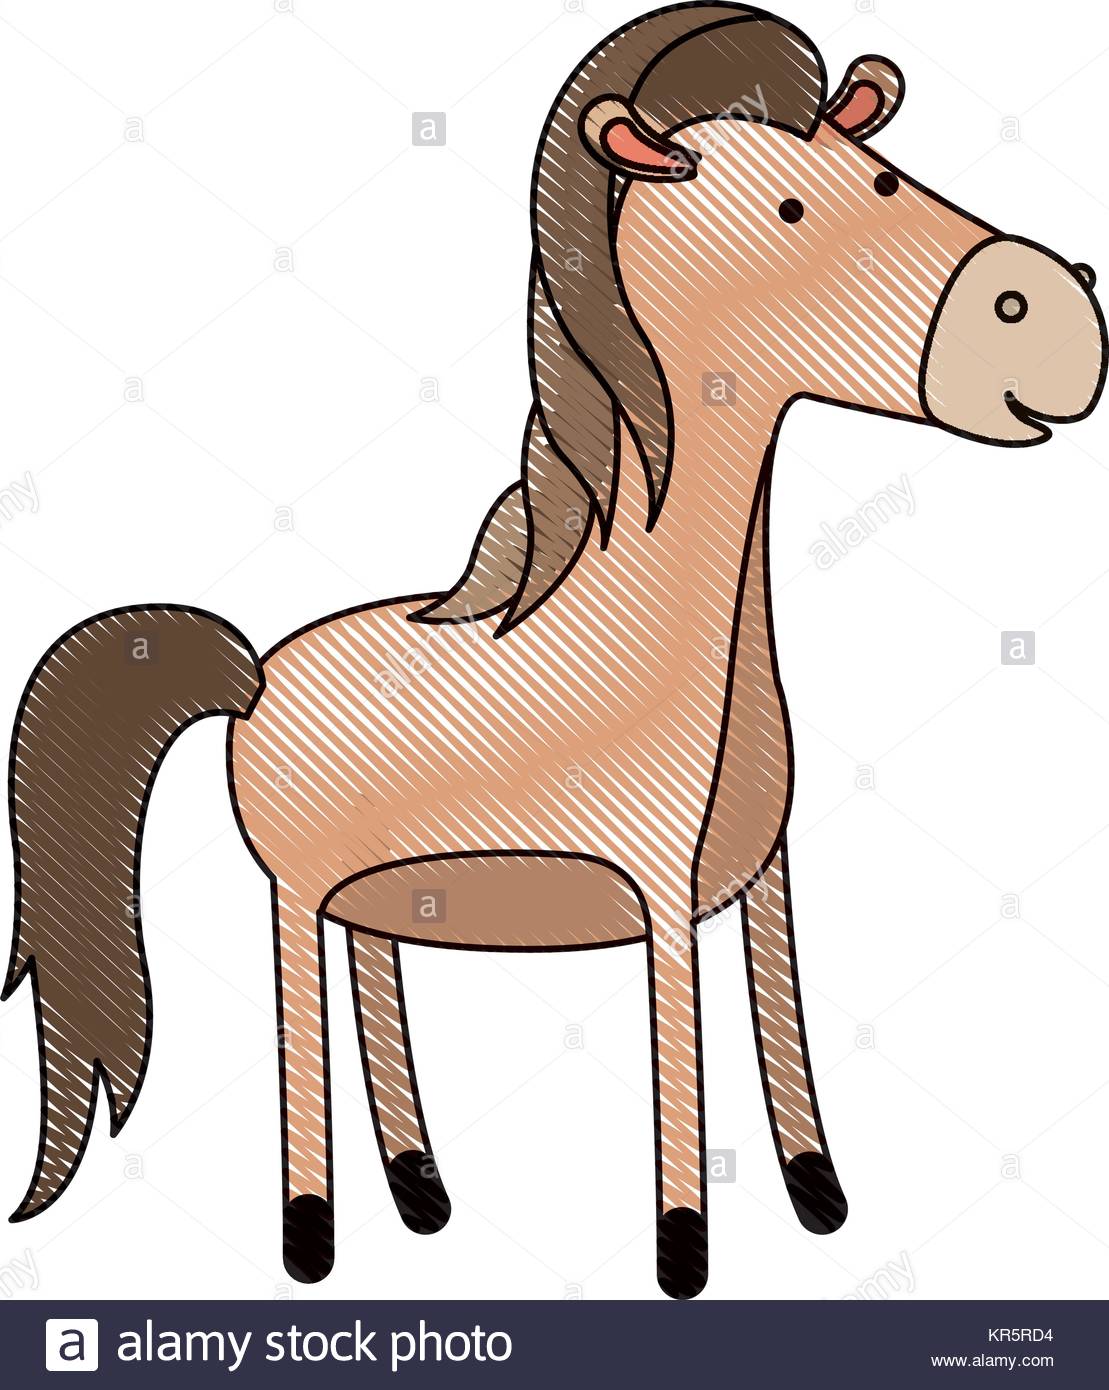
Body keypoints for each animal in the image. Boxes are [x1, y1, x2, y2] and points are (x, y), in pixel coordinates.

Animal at [5, 3, 1105, 1300]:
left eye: (880, 173)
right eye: (787, 209)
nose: (1052, 305)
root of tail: (254, 675)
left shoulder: (765, 877)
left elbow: (782, 1037)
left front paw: (820, 1204)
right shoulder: (660, 895)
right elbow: (680, 1058)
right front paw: (682, 1256)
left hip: (376, 895)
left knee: (374, 987)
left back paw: (421, 1194)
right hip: (294, 891)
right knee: (303, 1022)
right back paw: (310, 1233)